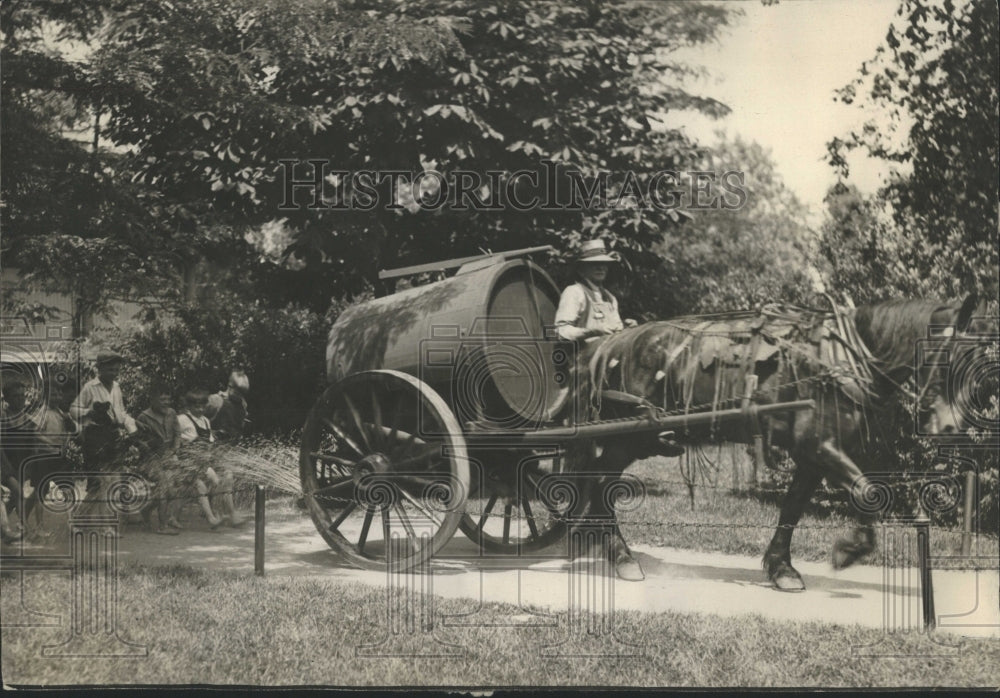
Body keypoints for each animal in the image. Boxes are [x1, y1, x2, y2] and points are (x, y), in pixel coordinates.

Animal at [576, 292, 988, 588]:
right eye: (948, 358)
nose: (950, 429)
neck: (838, 361)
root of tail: (613, 343)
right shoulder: (819, 446)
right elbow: (870, 493)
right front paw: (848, 551)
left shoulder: (815, 455)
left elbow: (794, 507)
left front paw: (782, 568)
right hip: (631, 435)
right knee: (600, 481)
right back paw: (621, 556)